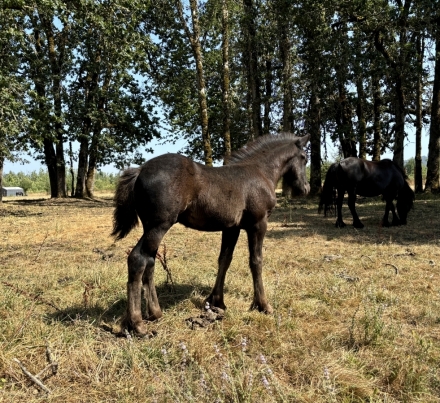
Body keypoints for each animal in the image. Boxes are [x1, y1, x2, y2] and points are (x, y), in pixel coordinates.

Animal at [112, 133, 310, 334]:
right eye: (304, 158)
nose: (305, 188)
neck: (261, 172)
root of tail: (140, 170)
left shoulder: (232, 228)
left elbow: (224, 260)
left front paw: (216, 301)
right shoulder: (258, 223)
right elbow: (256, 261)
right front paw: (263, 305)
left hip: (151, 228)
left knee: (150, 261)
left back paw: (155, 313)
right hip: (159, 226)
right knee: (138, 259)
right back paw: (137, 323)